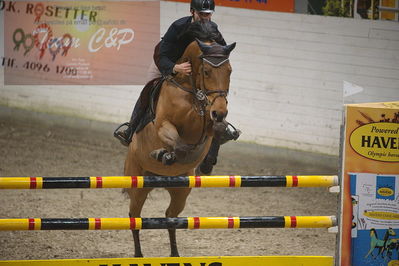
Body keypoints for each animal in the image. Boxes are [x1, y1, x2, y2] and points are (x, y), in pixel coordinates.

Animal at [125, 23, 236, 258]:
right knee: (134, 217)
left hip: (181, 192)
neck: (193, 93)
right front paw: (163, 154)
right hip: (138, 185)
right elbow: (178, 141)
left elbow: (217, 131)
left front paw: (207, 163)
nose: (220, 111)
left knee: (170, 217)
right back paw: (138, 254)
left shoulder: (208, 124)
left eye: (229, 71)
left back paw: (175, 254)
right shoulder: (164, 124)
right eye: (206, 71)